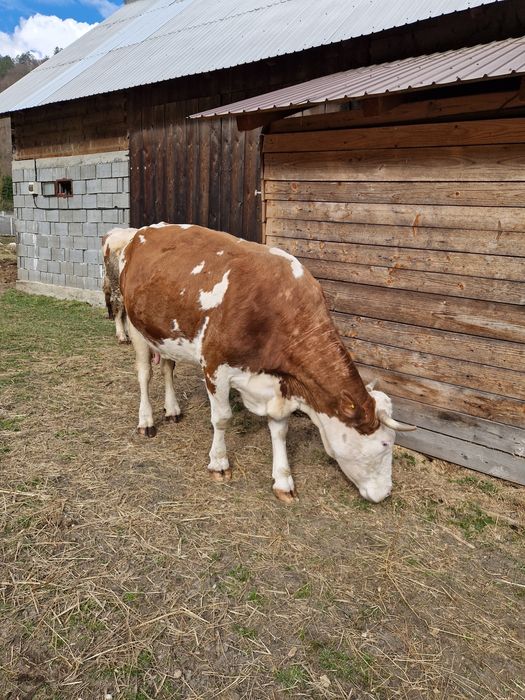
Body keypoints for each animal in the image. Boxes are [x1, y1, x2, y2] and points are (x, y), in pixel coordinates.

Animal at [119, 224, 415, 504]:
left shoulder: (280, 382)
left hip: (163, 333)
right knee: (144, 375)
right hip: (135, 325)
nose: (386, 493)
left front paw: (283, 481)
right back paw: (146, 421)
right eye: (385, 444)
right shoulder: (215, 366)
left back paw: (172, 410)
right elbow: (222, 418)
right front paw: (219, 463)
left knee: (167, 368)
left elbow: (280, 430)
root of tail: (144, 231)